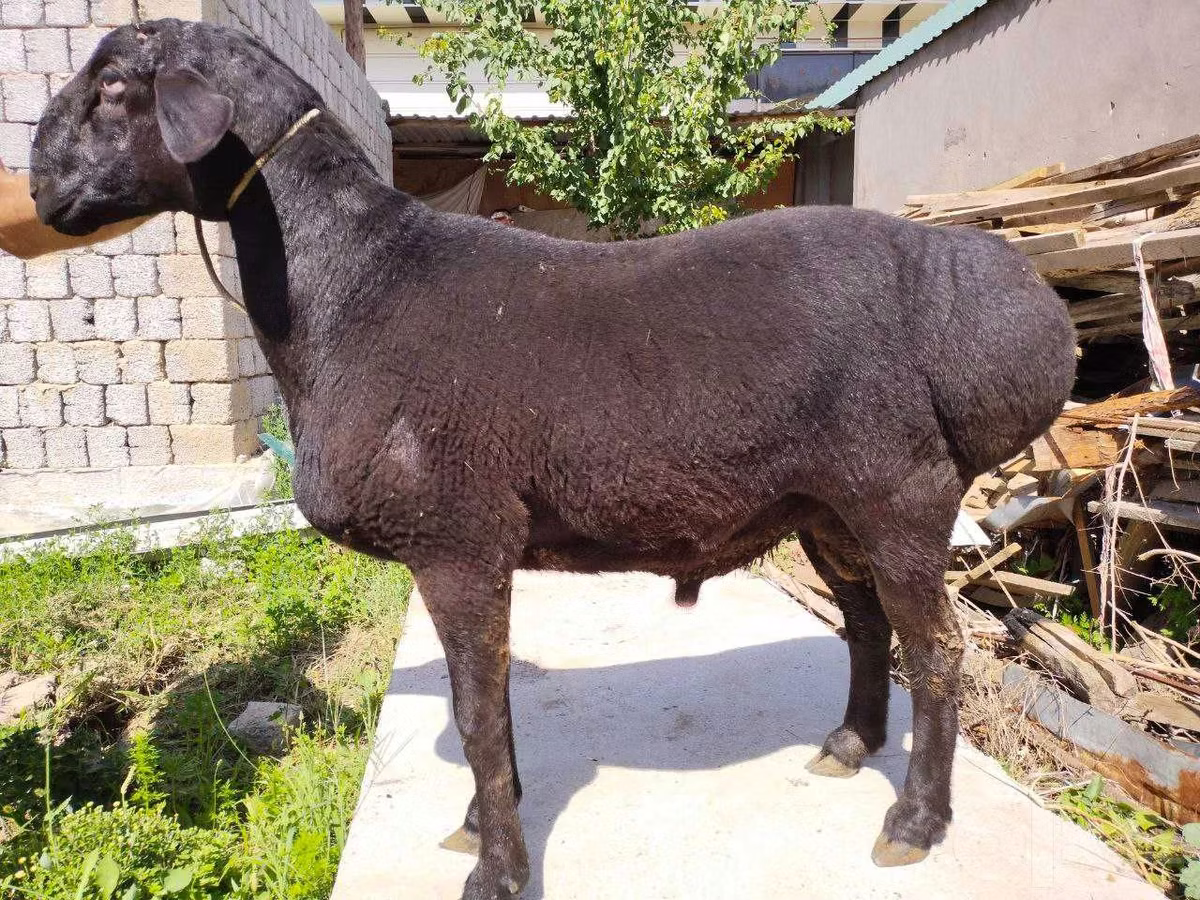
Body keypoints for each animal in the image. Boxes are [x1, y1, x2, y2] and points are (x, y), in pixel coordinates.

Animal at [30, 19, 1076, 900]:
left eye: (115, 83)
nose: (37, 184)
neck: (352, 285)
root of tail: (1021, 306)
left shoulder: (458, 539)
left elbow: (477, 714)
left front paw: (495, 869)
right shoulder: (467, 550)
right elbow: (485, 704)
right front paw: (478, 824)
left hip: (900, 492)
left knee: (938, 652)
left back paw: (915, 821)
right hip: (829, 506)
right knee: (864, 625)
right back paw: (852, 744)